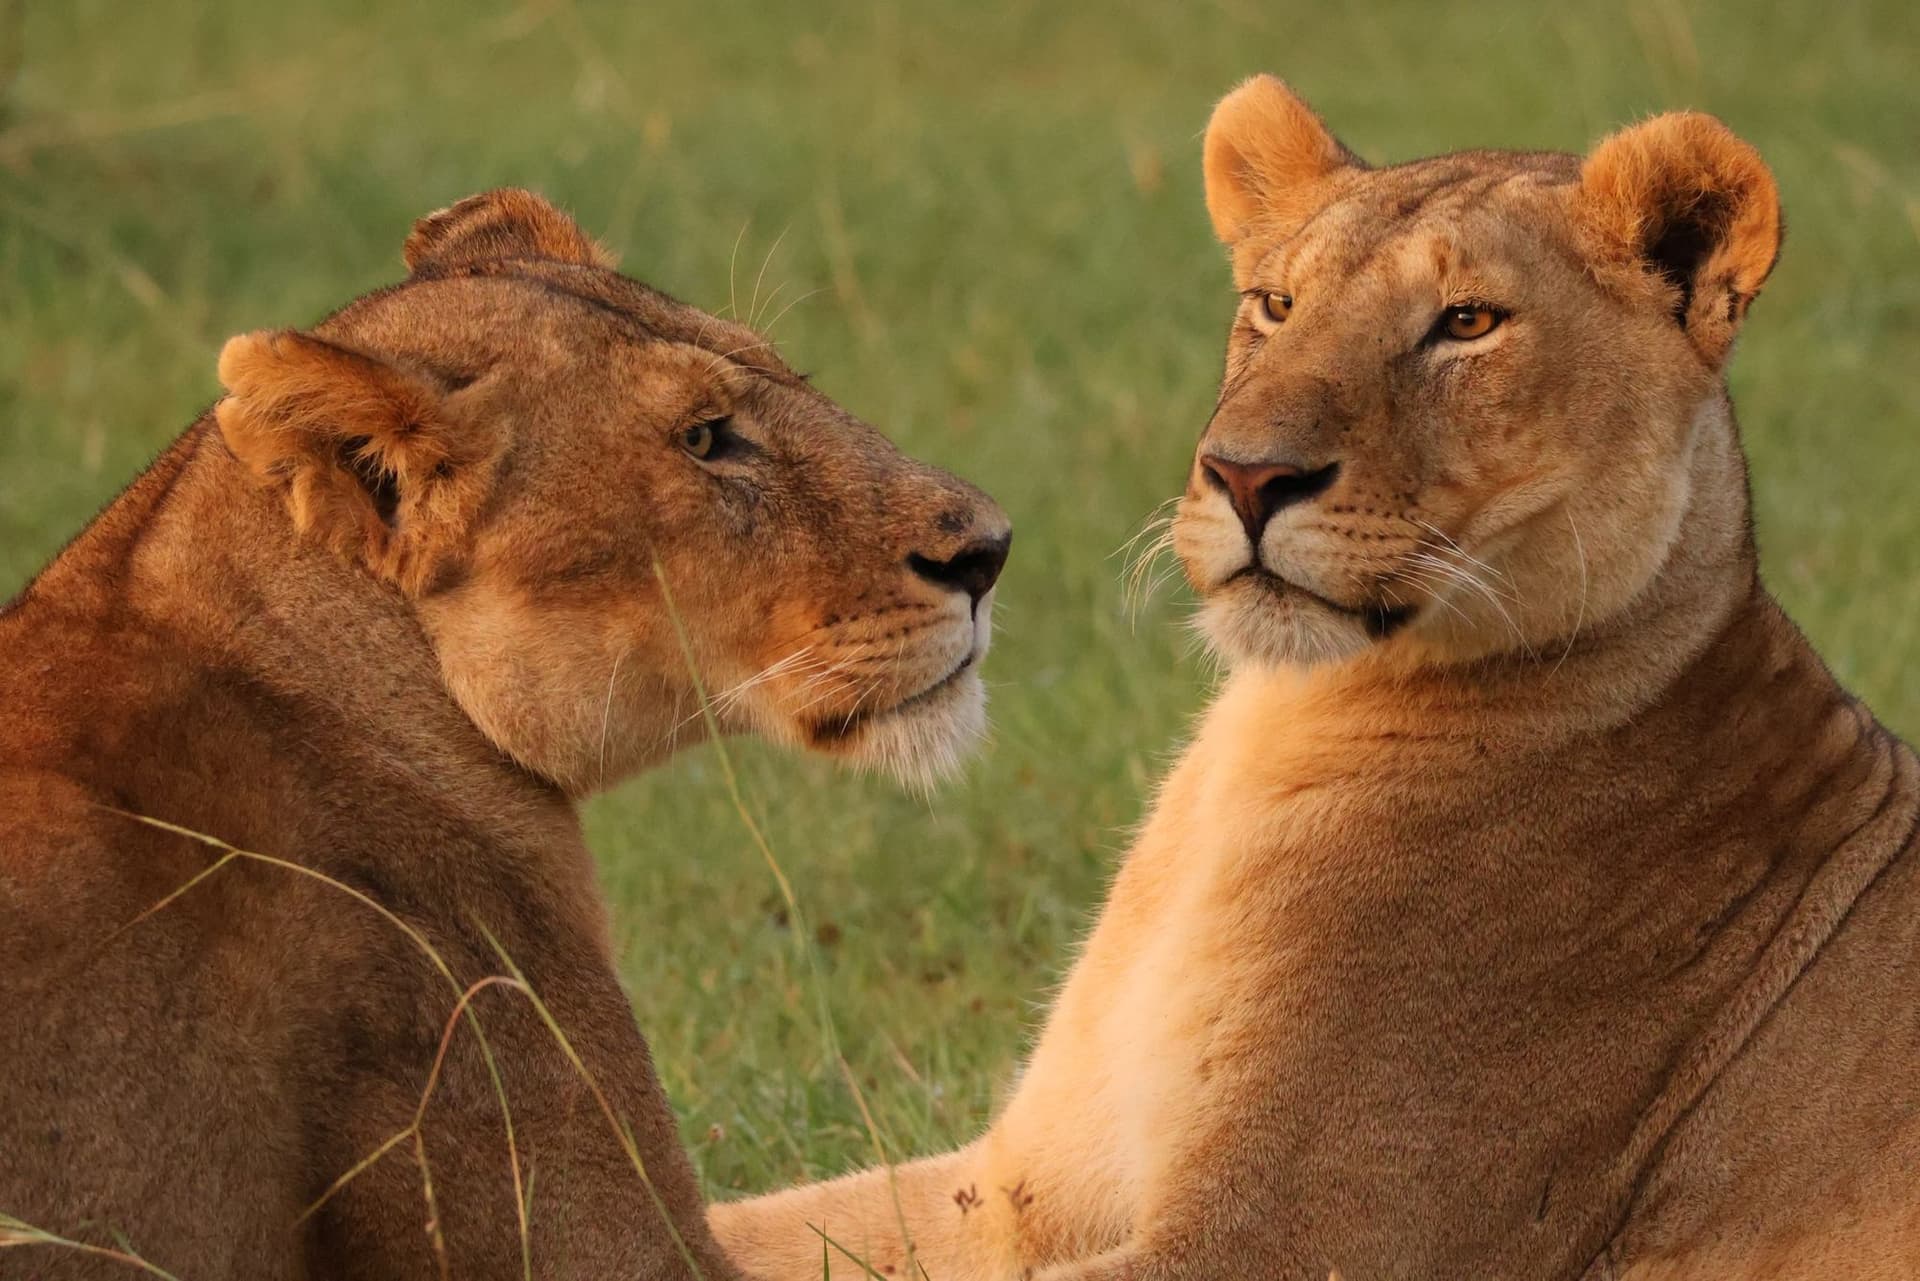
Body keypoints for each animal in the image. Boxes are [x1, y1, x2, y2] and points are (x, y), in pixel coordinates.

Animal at [710, 79, 1920, 1280]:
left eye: (1467, 322)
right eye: (1276, 305)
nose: (1246, 476)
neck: (1274, 726)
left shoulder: (1286, 1241)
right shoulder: (1023, 1185)